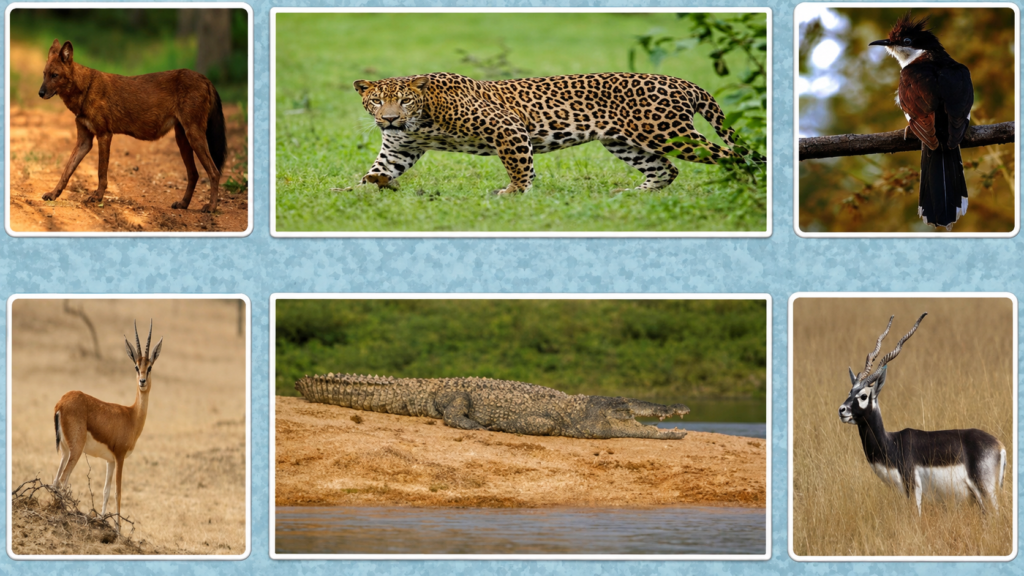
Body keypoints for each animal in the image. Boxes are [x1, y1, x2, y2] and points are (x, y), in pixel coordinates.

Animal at [52, 320, 163, 530]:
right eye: (136, 367)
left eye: (150, 367)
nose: (142, 381)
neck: (131, 415)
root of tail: (61, 402)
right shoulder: (120, 457)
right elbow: (118, 492)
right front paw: (119, 529)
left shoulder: (109, 461)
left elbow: (105, 490)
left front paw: (103, 520)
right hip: (76, 450)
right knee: (62, 480)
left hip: (64, 450)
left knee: (55, 480)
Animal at [353, 72, 743, 195]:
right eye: (377, 101)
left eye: (405, 100)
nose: (390, 120)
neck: (421, 119)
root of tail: (683, 82)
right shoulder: (399, 149)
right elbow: (375, 173)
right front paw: (352, 193)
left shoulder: (507, 126)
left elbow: (519, 165)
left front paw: (515, 193)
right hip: (622, 141)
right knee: (665, 170)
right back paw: (633, 194)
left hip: (669, 132)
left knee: (734, 156)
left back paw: (744, 187)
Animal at [838, 313, 1005, 514]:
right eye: (850, 392)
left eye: (863, 396)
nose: (842, 410)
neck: (892, 444)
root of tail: (999, 446)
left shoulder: (913, 489)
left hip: (986, 493)